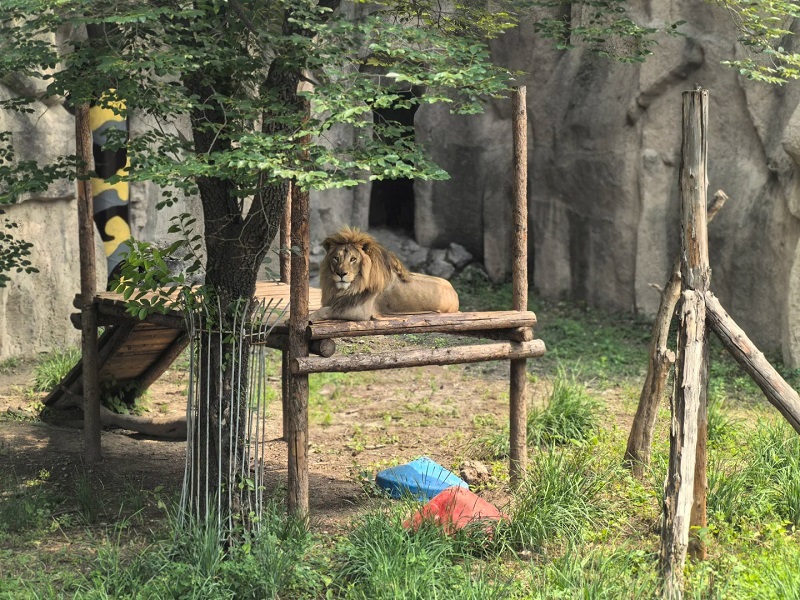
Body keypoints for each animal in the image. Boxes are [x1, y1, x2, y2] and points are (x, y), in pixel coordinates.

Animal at [309, 227, 459, 321]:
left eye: (353, 259)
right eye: (336, 258)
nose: (341, 273)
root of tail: (455, 291)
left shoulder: (360, 311)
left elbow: (325, 310)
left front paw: (310, 318)